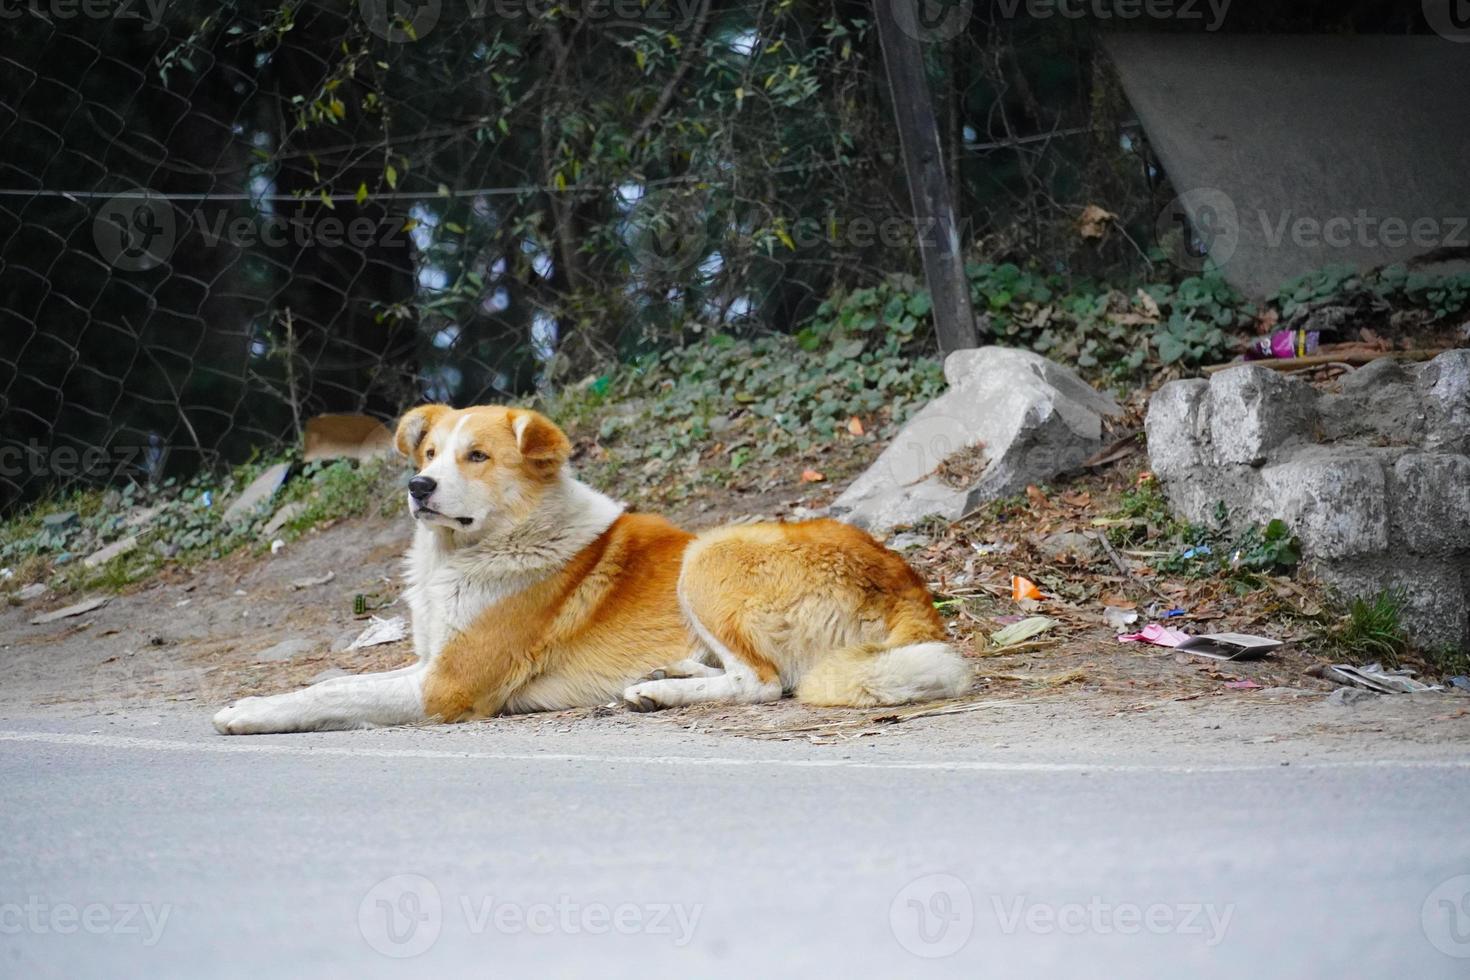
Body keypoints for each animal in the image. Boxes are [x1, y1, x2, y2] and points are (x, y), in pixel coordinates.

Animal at [207, 402, 964, 731]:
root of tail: (910, 588)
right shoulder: (429, 662)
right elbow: (339, 679)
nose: (418, 487)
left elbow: (330, 696)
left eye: (476, 456)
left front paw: (249, 712)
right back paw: (664, 677)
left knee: (763, 684)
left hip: (708, 553)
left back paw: (663, 694)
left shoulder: (447, 686)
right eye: (429, 454)